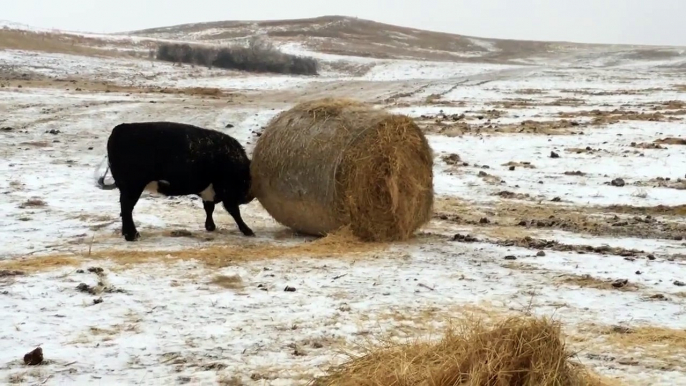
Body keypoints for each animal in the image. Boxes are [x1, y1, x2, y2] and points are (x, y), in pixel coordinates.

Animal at [97, 121, 255, 241]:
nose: (248, 198)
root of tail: (120, 128)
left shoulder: (210, 191)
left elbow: (209, 208)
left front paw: (210, 226)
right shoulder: (227, 191)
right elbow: (234, 211)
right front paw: (247, 230)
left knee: (125, 209)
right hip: (133, 187)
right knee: (127, 208)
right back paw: (132, 235)